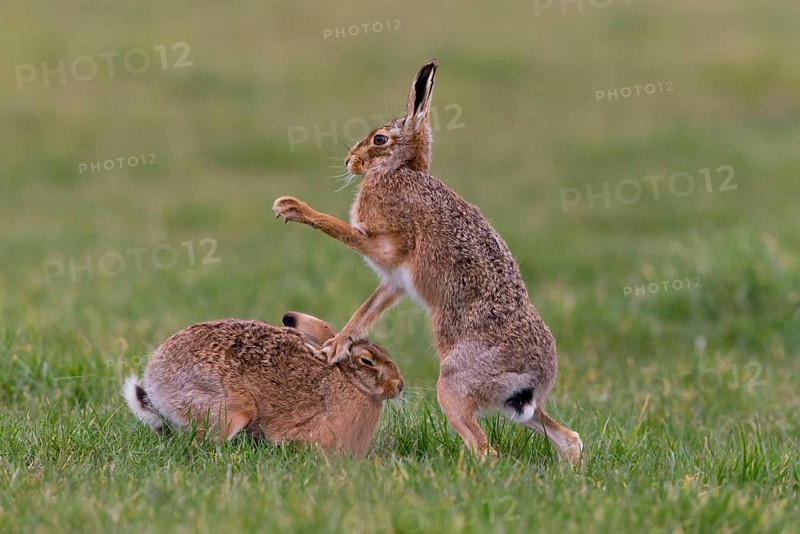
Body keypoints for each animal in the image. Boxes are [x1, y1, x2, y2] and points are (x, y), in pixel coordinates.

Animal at [272, 59, 582, 465]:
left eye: (379, 139)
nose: (349, 161)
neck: (400, 171)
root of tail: (535, 372)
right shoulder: (394, 282)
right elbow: (365, 311)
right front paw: (334, 348)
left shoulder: (386, 246)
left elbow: (341, 230)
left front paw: (292, 208)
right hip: (509, 404)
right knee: (569, 438)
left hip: (453, 387)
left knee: (485, 448)